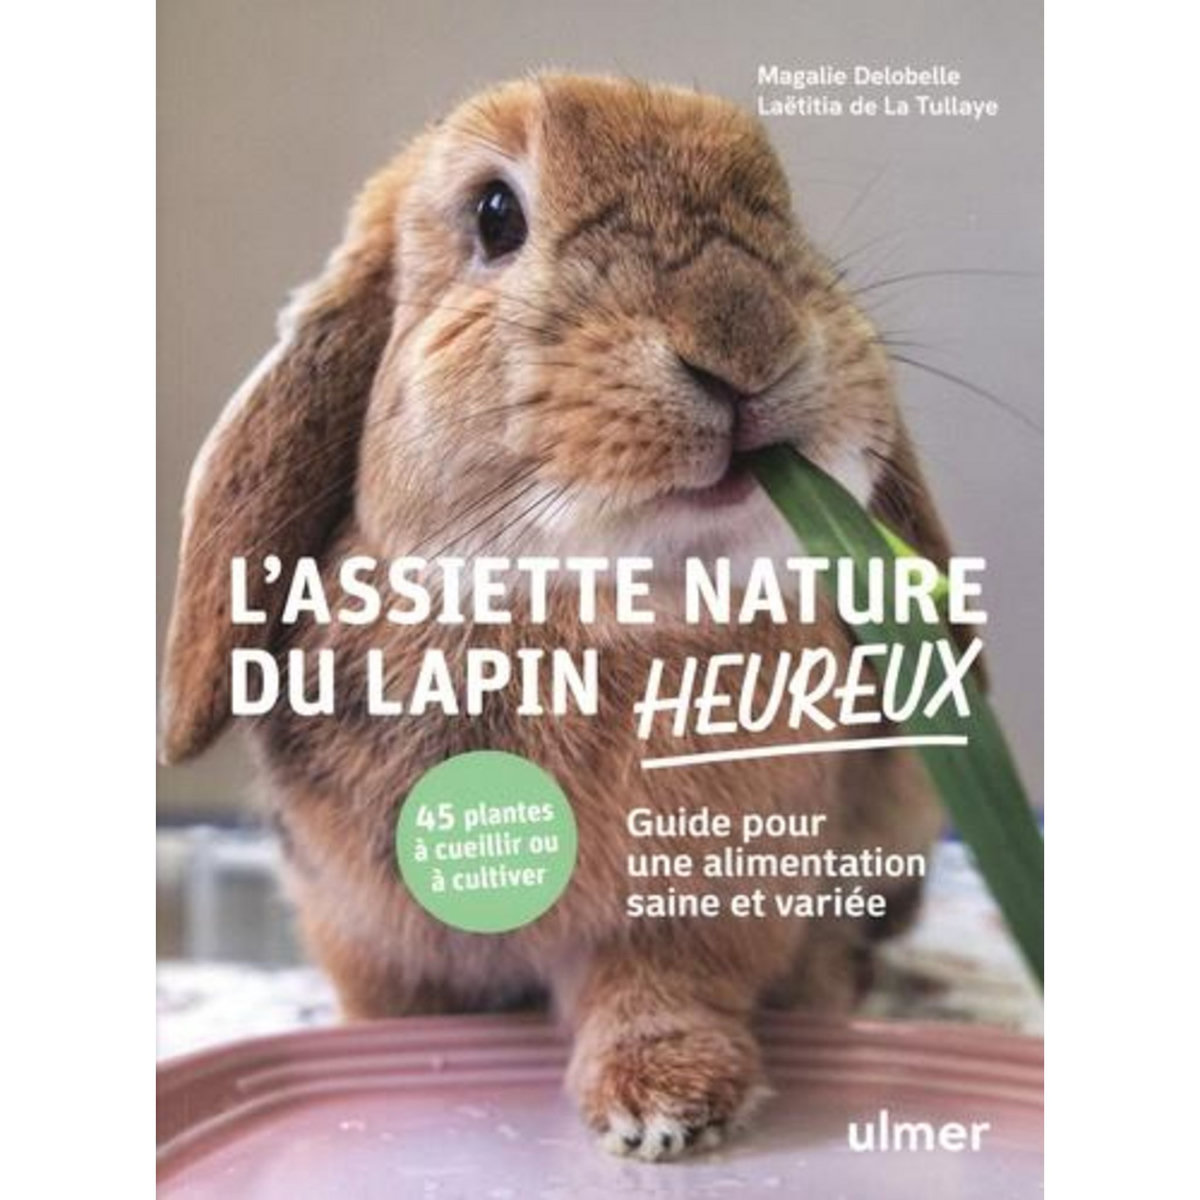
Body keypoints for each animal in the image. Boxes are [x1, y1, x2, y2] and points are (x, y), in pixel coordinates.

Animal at [161, 73, 966, 1160]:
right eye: (496, 215)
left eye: (781, 202)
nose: (744, 338)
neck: (579, 617)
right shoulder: (361, 933)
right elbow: (387, 1010)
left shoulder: (696, 907)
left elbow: (661, 990)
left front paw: (667, 1110)